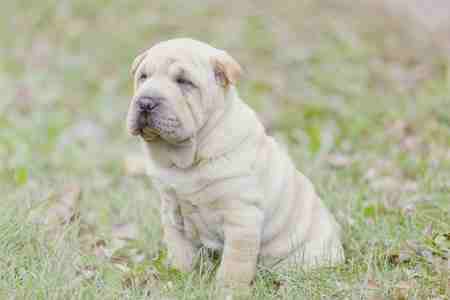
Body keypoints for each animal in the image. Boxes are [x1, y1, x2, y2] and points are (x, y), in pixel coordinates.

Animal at [126, 38, 344, 288]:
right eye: (143, 77)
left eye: (184, 82)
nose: (145, 102)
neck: (186, 159)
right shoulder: (172, 212)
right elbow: (180, 251)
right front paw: (179, 276)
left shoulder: (242, 217)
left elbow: (235, 263)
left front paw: (228, 289)